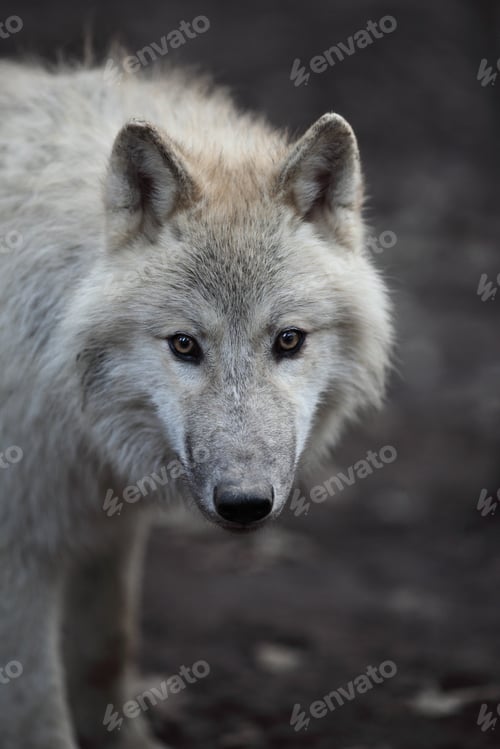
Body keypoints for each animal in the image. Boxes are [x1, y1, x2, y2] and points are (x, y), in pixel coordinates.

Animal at [0, 59, 392, 748]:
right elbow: (37, 714)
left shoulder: (105, 530)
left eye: (288, 340)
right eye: (184, 344)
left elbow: (106, 655)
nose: (244, 504)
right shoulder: (20, 556)